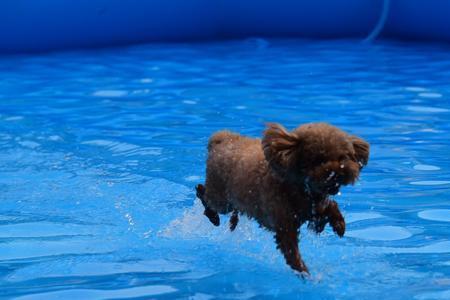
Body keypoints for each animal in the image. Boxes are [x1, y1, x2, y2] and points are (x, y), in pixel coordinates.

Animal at [197, 122, 370, 274]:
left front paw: (339, 223)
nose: (338, 172)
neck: (299, 187)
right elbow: (291, 251)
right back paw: (211, 214)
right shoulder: (284, 225)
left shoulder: (313, 208)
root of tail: (223, 138)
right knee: (203, 194)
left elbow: (330, 207)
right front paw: (303, 272)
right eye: (319, 159)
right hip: (220, 198)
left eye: (343, 157)